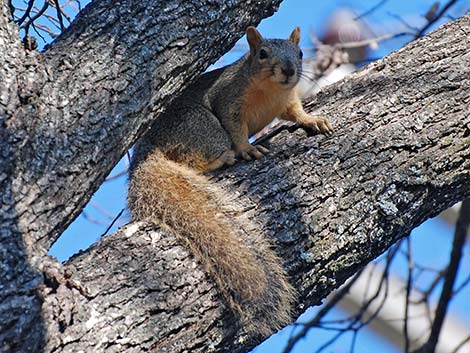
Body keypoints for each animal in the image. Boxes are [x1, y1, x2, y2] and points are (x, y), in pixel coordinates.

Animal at [129, 26, 332, 334]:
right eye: (262, 54)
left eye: (299, 53)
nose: (288, 70)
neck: (270, 91)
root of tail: (149, 144)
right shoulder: (228, 101)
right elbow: (236, 128)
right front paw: (247, 148)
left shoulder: (288, 100)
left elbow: (296, 112)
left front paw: (312, 120)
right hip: (203, 129)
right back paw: (223, 159)